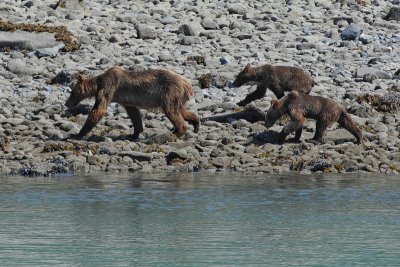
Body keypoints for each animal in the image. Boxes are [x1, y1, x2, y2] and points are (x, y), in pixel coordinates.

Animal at [65, 66, 200, 140]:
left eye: (72, 93)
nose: (66, 104)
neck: (97, 85)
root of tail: (188, 83)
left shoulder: (108, 88)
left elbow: (98, 110)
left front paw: (76, 134)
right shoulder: (126, 100)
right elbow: (134, 114)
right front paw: (133, 134)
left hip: (169, 93)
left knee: (171, 111)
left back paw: (177, 132)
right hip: (177, 97)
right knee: (181, 110)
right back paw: (195, 123)